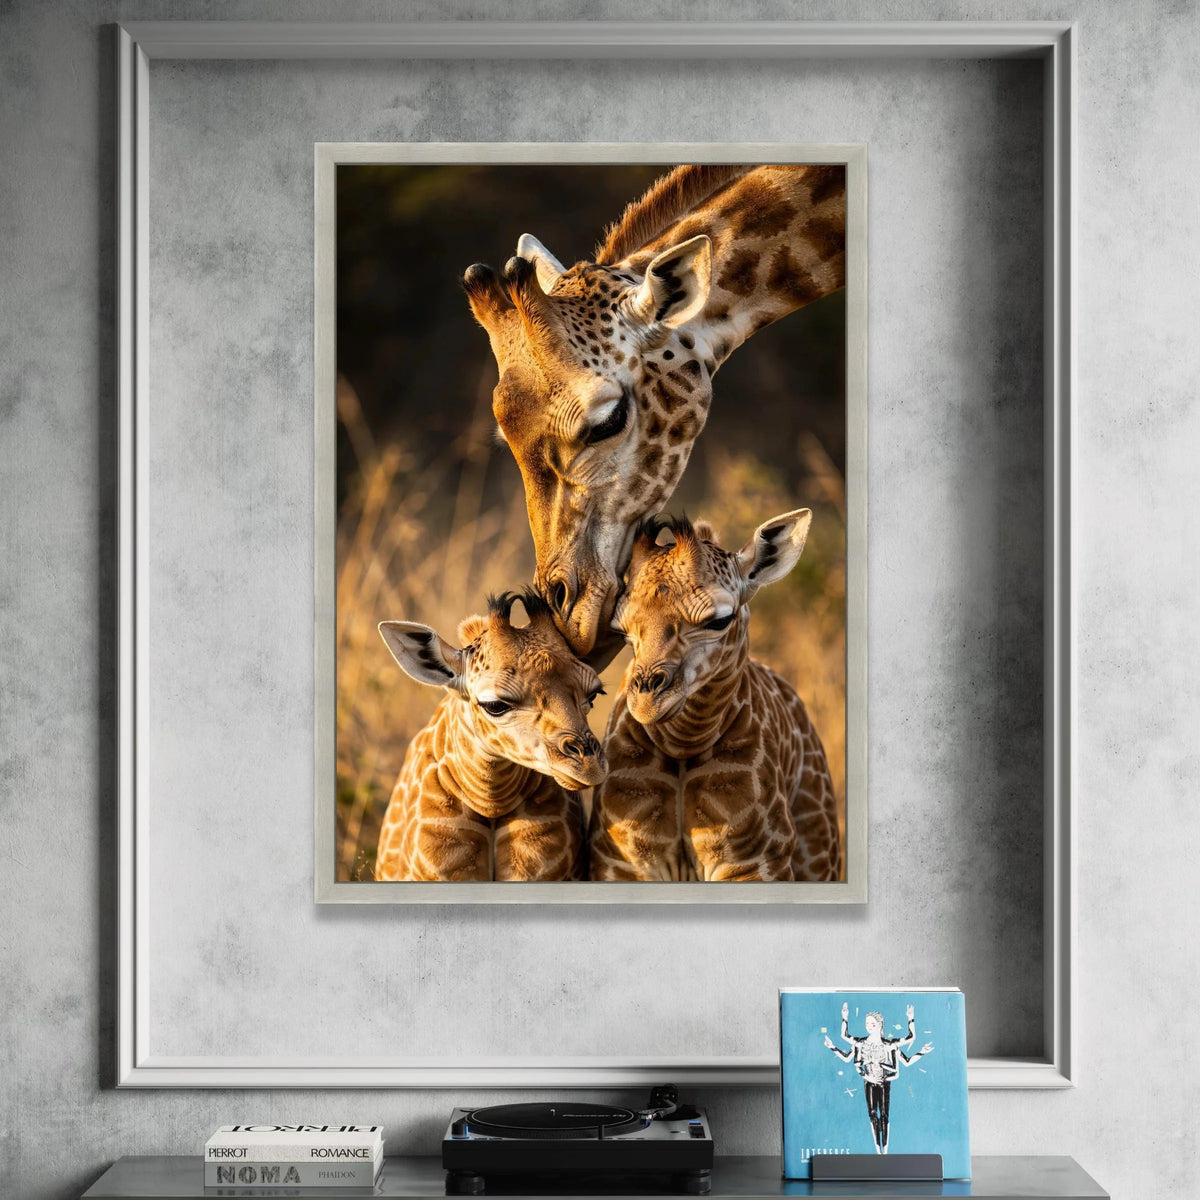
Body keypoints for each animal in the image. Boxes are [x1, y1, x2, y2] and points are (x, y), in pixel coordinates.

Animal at [589, 512, 841, 882]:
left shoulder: (753, 863)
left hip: (820, 853)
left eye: (720, 620)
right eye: (621, 631)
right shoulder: (623, 863)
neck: (682, 747)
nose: (648, 701)